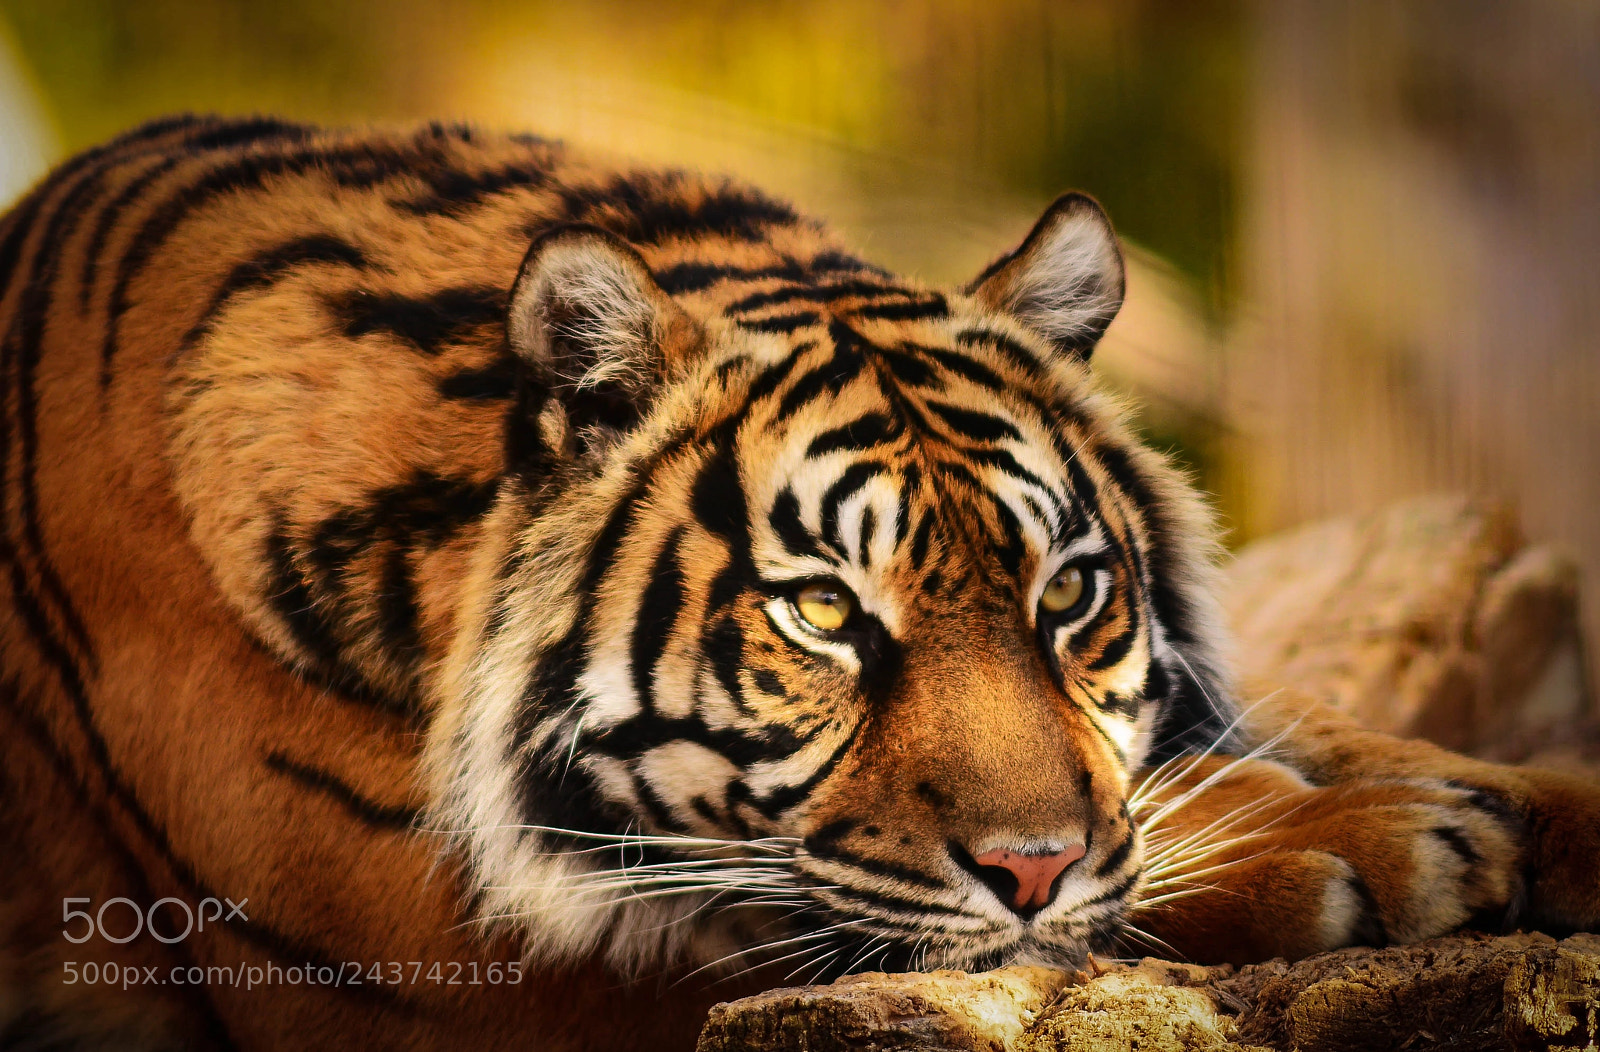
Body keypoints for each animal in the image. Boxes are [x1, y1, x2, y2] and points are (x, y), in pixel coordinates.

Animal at [1, 115, 1597, 1052]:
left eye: (1066, 595)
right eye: (823, 610)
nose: (1033, 865)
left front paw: (1523, 800)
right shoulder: (485, 959)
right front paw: (1369, 842)